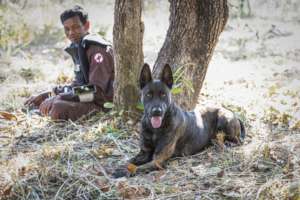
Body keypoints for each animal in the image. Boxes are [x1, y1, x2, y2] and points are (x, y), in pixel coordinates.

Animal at [113, 63, 245, 177]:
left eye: (163, 94)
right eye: (148, 94)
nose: (157, 111)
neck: (156, 129)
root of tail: (232, 112)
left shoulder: (158, 159)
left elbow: (139, 167)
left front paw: (125, 171)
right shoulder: (144, 153)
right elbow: (130, 161)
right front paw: (121, 166)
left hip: (224, 119)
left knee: (237, 139)